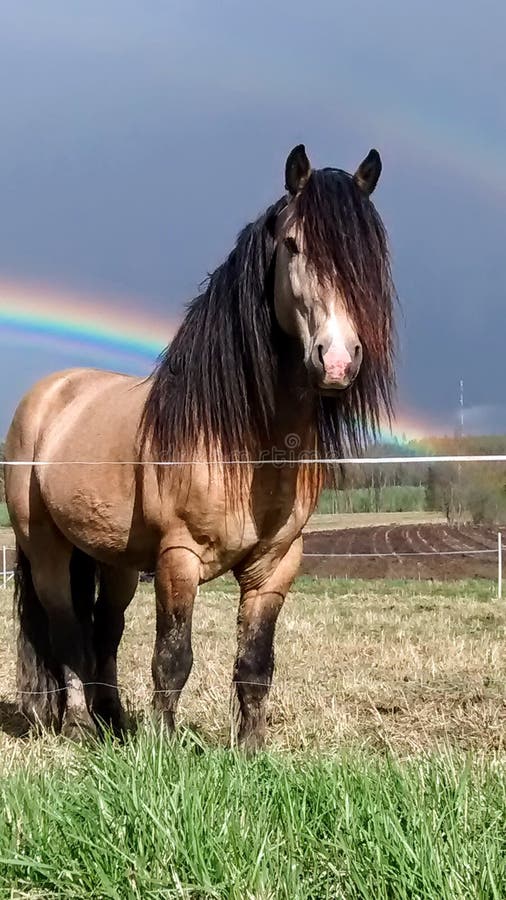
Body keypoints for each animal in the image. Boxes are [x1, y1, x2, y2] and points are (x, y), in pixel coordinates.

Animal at [5, 144, 396, 750]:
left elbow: (255, 665)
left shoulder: (276, 565)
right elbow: (172, 660)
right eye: (293, 244)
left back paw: (112, 723)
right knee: (67, 631)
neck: (246, 444)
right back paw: (74, 728)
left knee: (105, 632)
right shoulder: (179, 558)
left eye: (369, 254)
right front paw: (162, 752)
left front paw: (251, 753)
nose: (336, 361)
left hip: (115, 560)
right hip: (46, 547)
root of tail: (48, 392)